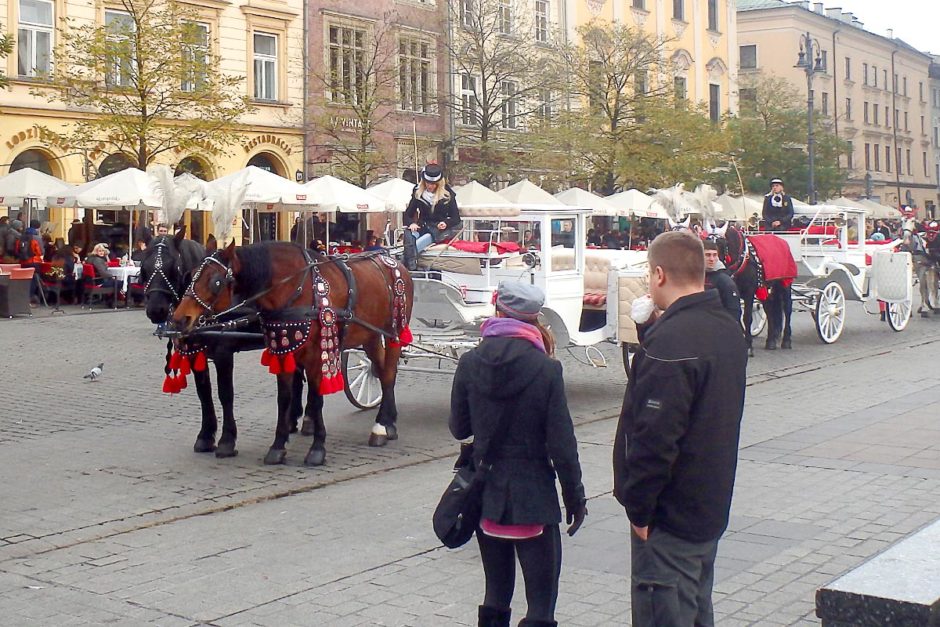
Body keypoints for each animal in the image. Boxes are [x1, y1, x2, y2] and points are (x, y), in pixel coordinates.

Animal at [140, 233, 308, 458]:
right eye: (144, 267)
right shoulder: (196, 352)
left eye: (174, 266)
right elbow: (204, 393)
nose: (156, 309)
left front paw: (227, 440)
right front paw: (205, 436)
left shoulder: (223, 353)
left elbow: (225, 394)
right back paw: (292, 420)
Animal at [171, 240, 414, 466]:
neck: (297, 289)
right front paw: (278, 446)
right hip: (371, 336)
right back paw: (388, 422)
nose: (180, 318)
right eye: (190, 275)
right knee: (381, 371)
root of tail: (396, 262)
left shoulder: (316, 354)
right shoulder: (282, 350)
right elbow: (283, 397)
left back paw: (381, 426)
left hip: (393, 333)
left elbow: (316, 396)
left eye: (216, 281)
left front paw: (317, 449)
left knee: (388, 373)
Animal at [720, 224, 792, 354]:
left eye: (720, 243)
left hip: (784, 284)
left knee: (787, 308)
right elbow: (735, 315)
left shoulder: (749, 292)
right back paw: (771, 340)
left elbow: (747, 317)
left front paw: (748, 345)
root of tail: (781, 240)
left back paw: (786, 340)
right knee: (769, 308)